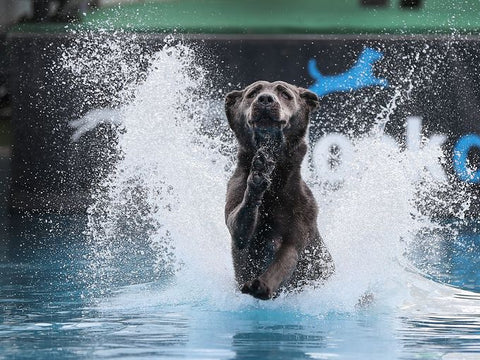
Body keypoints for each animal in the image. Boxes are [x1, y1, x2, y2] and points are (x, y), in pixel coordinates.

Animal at [225, 80, 334, 300]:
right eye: (252, 93)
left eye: (285, 94)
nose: (266, 99)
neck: (275, 183)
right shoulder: (235, 204)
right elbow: (239, 228)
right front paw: (258, 175)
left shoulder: (301, 219)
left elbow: (285, 259)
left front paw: (261, 285)